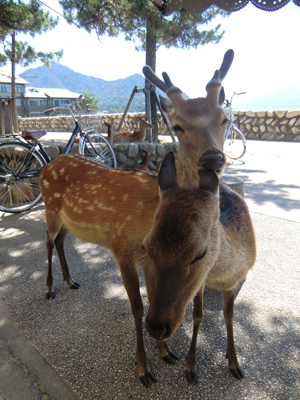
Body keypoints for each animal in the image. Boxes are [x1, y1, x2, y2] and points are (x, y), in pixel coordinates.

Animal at [37, 48, 255, 386]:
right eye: (177, 126)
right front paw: (144, 368)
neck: (151, 216)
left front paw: (166, 352)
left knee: (59, 241)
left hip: (69, 221)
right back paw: (49, 288)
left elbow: (157, 303)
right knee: (47, 242)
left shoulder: (148, 261)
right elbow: (139, 308)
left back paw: (71, 280)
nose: (212, 158)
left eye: (225, 118)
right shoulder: (123, 248)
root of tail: (47, 165)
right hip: (49, 207)